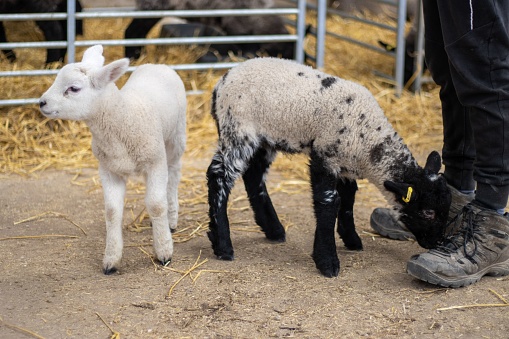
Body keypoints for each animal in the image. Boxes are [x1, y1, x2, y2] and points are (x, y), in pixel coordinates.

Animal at [38, 45, 187, 274]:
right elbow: (112, 212)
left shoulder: (155, 161)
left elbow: (156, 205)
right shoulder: (108, 169)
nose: (41, 103)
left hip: (175, 139)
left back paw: (170, 219)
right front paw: (111, 260)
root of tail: (157, 64)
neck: (123, 117)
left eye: (73, 88)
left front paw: (164, 251)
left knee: (173, 175)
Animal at [204, 57, 450, 278]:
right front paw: (327, 261)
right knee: (218, 176)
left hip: (264, 138)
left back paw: (273, 230)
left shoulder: (345, 164)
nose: (436, 242)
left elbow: (348, 200)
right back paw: (223, 244)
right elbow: (328, 203)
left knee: (254, 176)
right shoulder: (324, 156)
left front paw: (351, 239)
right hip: (237, 131)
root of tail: (221, 83)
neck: (369, 139)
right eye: (427, 212)